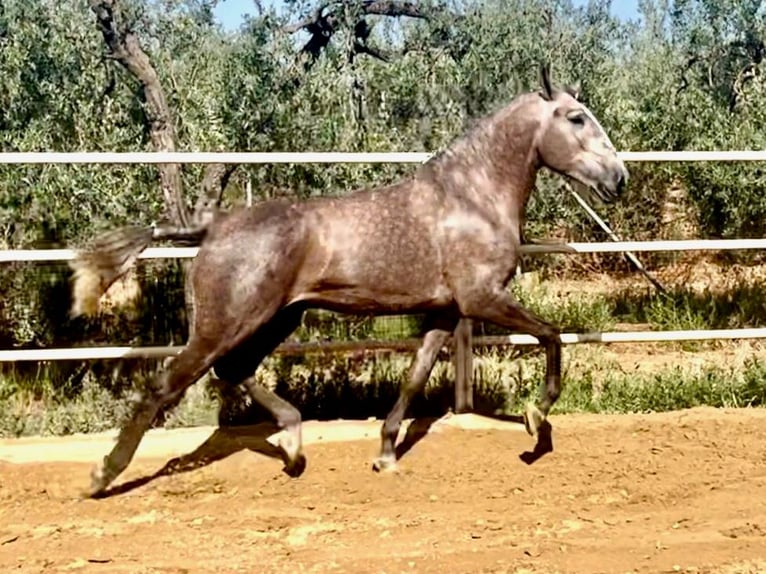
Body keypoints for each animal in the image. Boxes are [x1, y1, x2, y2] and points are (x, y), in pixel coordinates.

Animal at [67, 65, 632, 500]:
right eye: (576, 118)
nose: (618, 178)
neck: (471, 197)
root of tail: (215, 226)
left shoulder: (445, 311)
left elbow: (415, 376)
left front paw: (385, 454)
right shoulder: (482, 298)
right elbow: (552, 336)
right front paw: (537, 421)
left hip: (277, 317)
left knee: (234, 370)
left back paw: (294, 447)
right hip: (227, 323)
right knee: (168, 384)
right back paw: (101, 476)